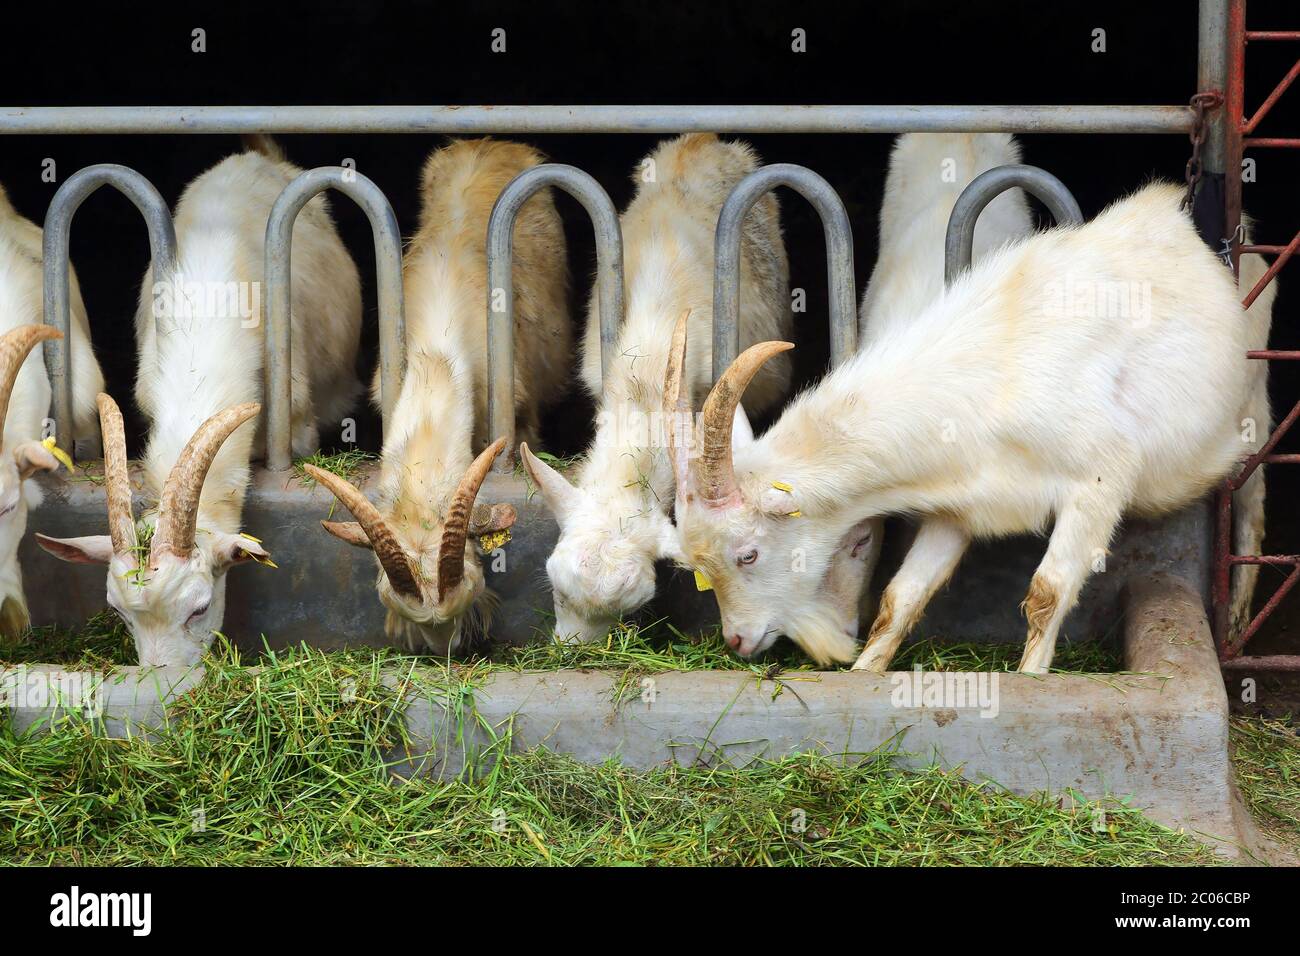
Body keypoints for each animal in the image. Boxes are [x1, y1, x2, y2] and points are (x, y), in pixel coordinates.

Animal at [666, 181, 1263, 673]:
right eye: (697, 566)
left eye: (747, 553)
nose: (737, 640)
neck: (990, 378)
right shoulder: (958, 507)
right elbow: (901, 596)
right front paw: (864, 674)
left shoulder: (1100, 481)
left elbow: (1048, 591)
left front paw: (1030, 680)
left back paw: (1237, 620)